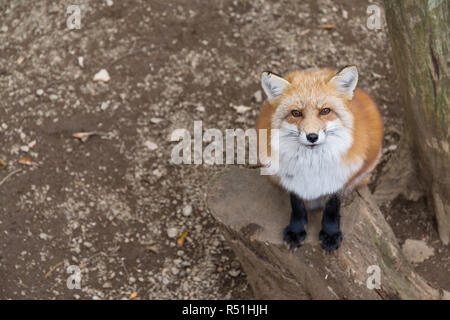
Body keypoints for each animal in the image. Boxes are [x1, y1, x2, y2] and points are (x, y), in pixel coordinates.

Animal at [256, 66, 384, 252]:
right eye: (296, 113)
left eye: (325, 111)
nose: (312, 137)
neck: (312, 165)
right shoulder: (289, 177)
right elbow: (297, 205)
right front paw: (296, 230)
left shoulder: (339, 177)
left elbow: (332, 207)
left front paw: (330, 234)